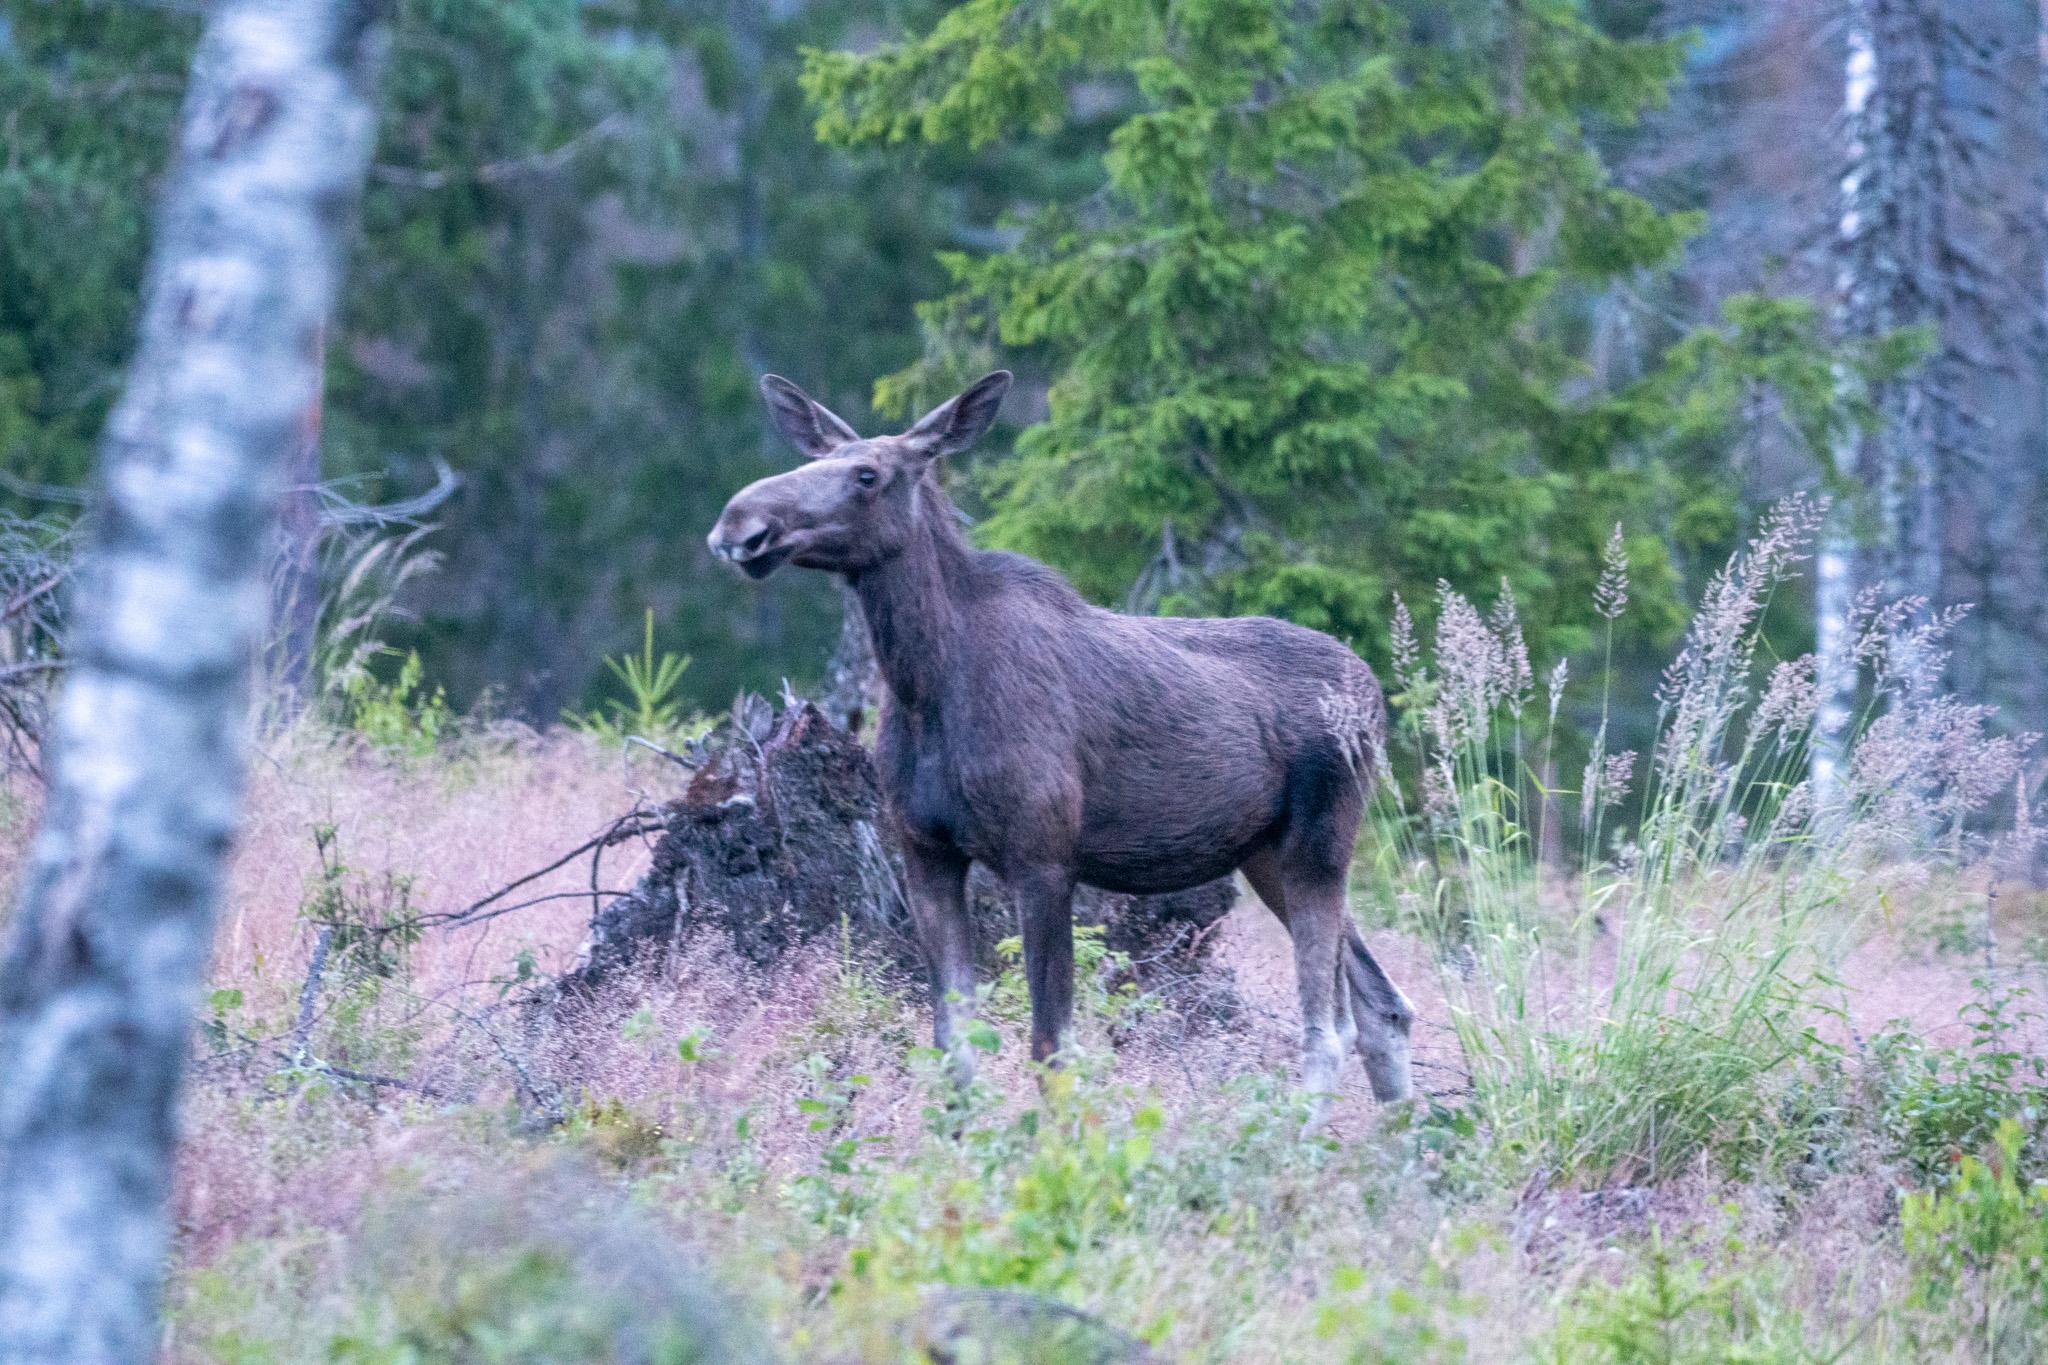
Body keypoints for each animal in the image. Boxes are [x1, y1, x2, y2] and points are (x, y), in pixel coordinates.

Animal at [712, 370, 1417, 1121]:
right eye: (813, 459)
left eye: (868, 474)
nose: (740, 525)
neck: (925, 684)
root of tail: (1374, 694)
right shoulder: (925, 852)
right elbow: (952, 1042)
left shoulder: (1043, 857)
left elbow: (1051, 1045)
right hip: (1264, 853)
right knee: (1383, 1004)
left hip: (1321, 840)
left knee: (1329, 1026)